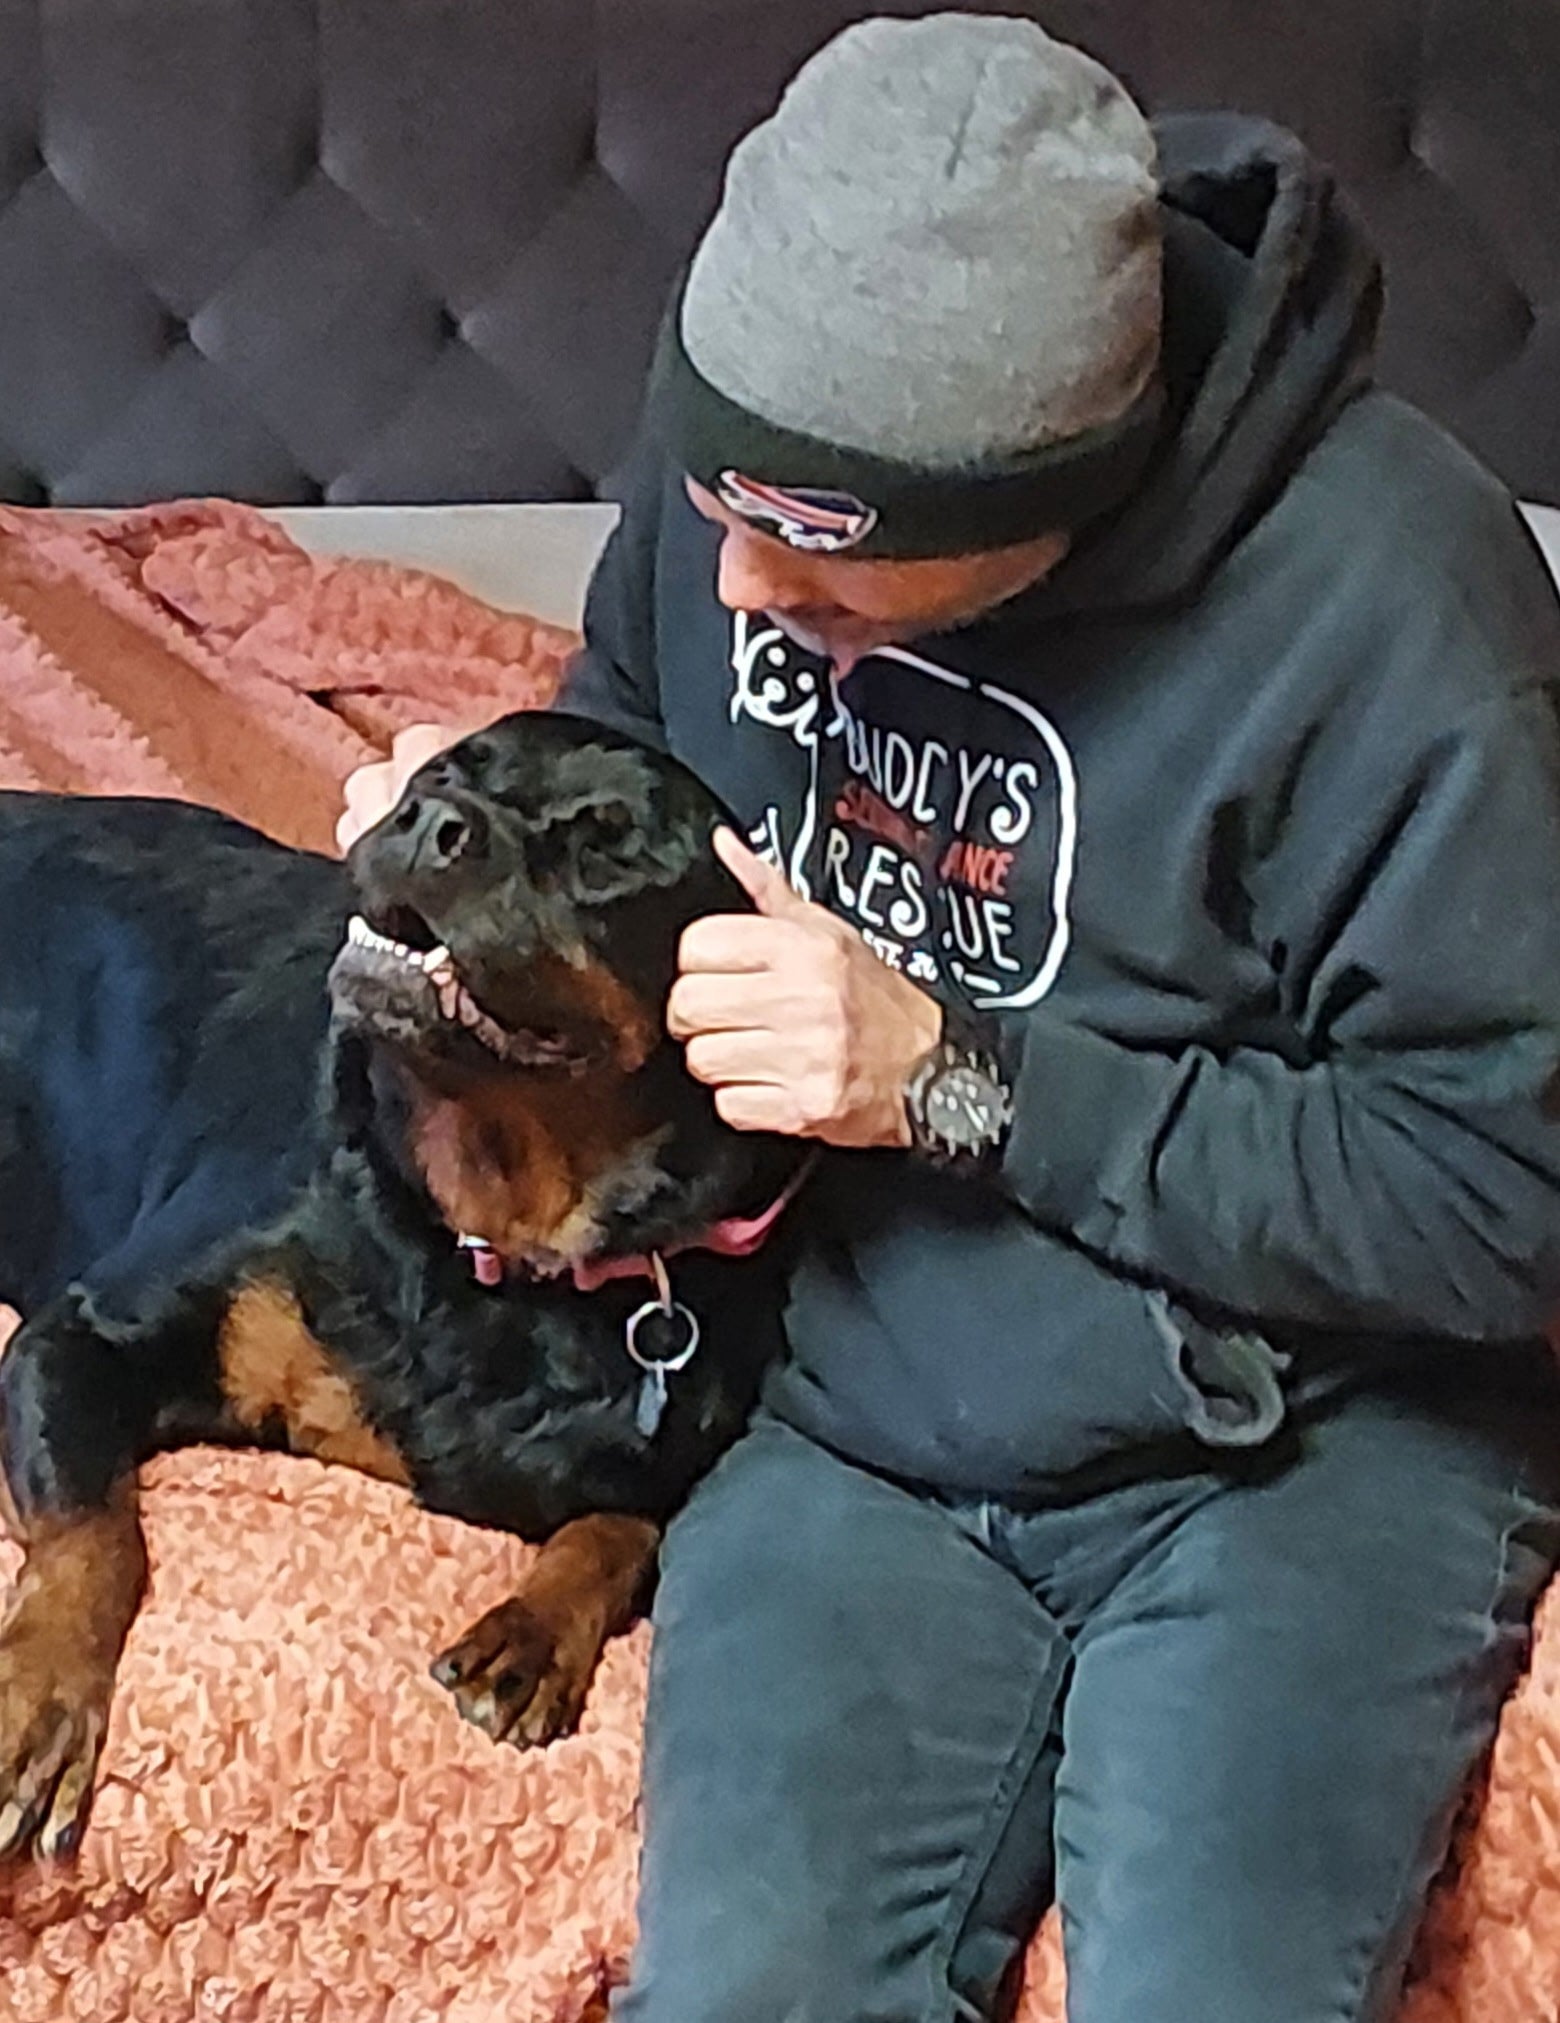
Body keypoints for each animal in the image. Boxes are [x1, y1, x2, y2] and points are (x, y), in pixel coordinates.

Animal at [0, 712, 806, 1862]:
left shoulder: (682, 1452)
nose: (430, 819)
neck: (495, 1240)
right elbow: (94, 1533)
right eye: (442, 769)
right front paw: (41, 1692)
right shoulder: (81, 1332)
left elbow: (623, 1527)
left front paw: (535, 1630)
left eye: (610, 846)